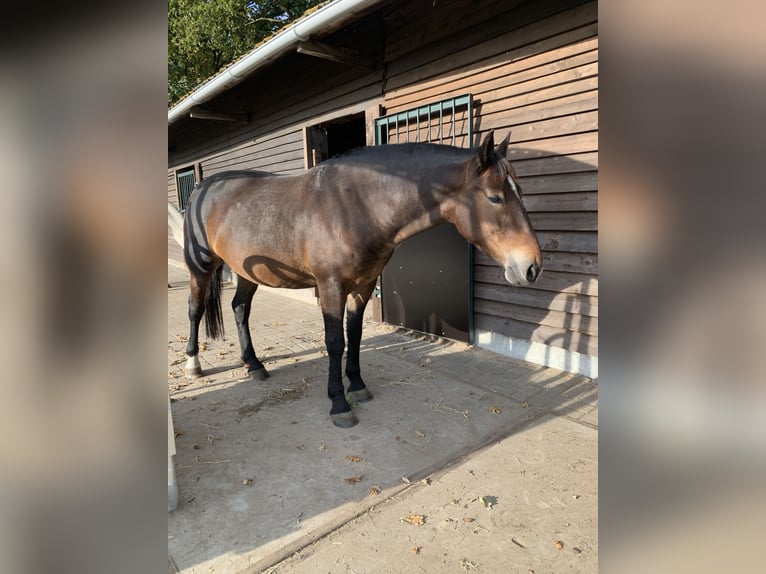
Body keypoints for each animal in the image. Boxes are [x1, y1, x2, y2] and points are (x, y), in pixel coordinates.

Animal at [182, 131, 542, 428]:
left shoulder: (364, 285)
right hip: (201, 267)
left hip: (247, 272)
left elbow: (354, 336)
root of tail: (202, 188)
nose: (532, 267)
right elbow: (335, 342)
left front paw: (357, 386)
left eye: (522, 192)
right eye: (495, 197)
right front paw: (339, 403)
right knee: (195, 309)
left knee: (240, 308)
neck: (354, 207)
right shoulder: (330, 288)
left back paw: (254, 365)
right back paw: (193, 364)